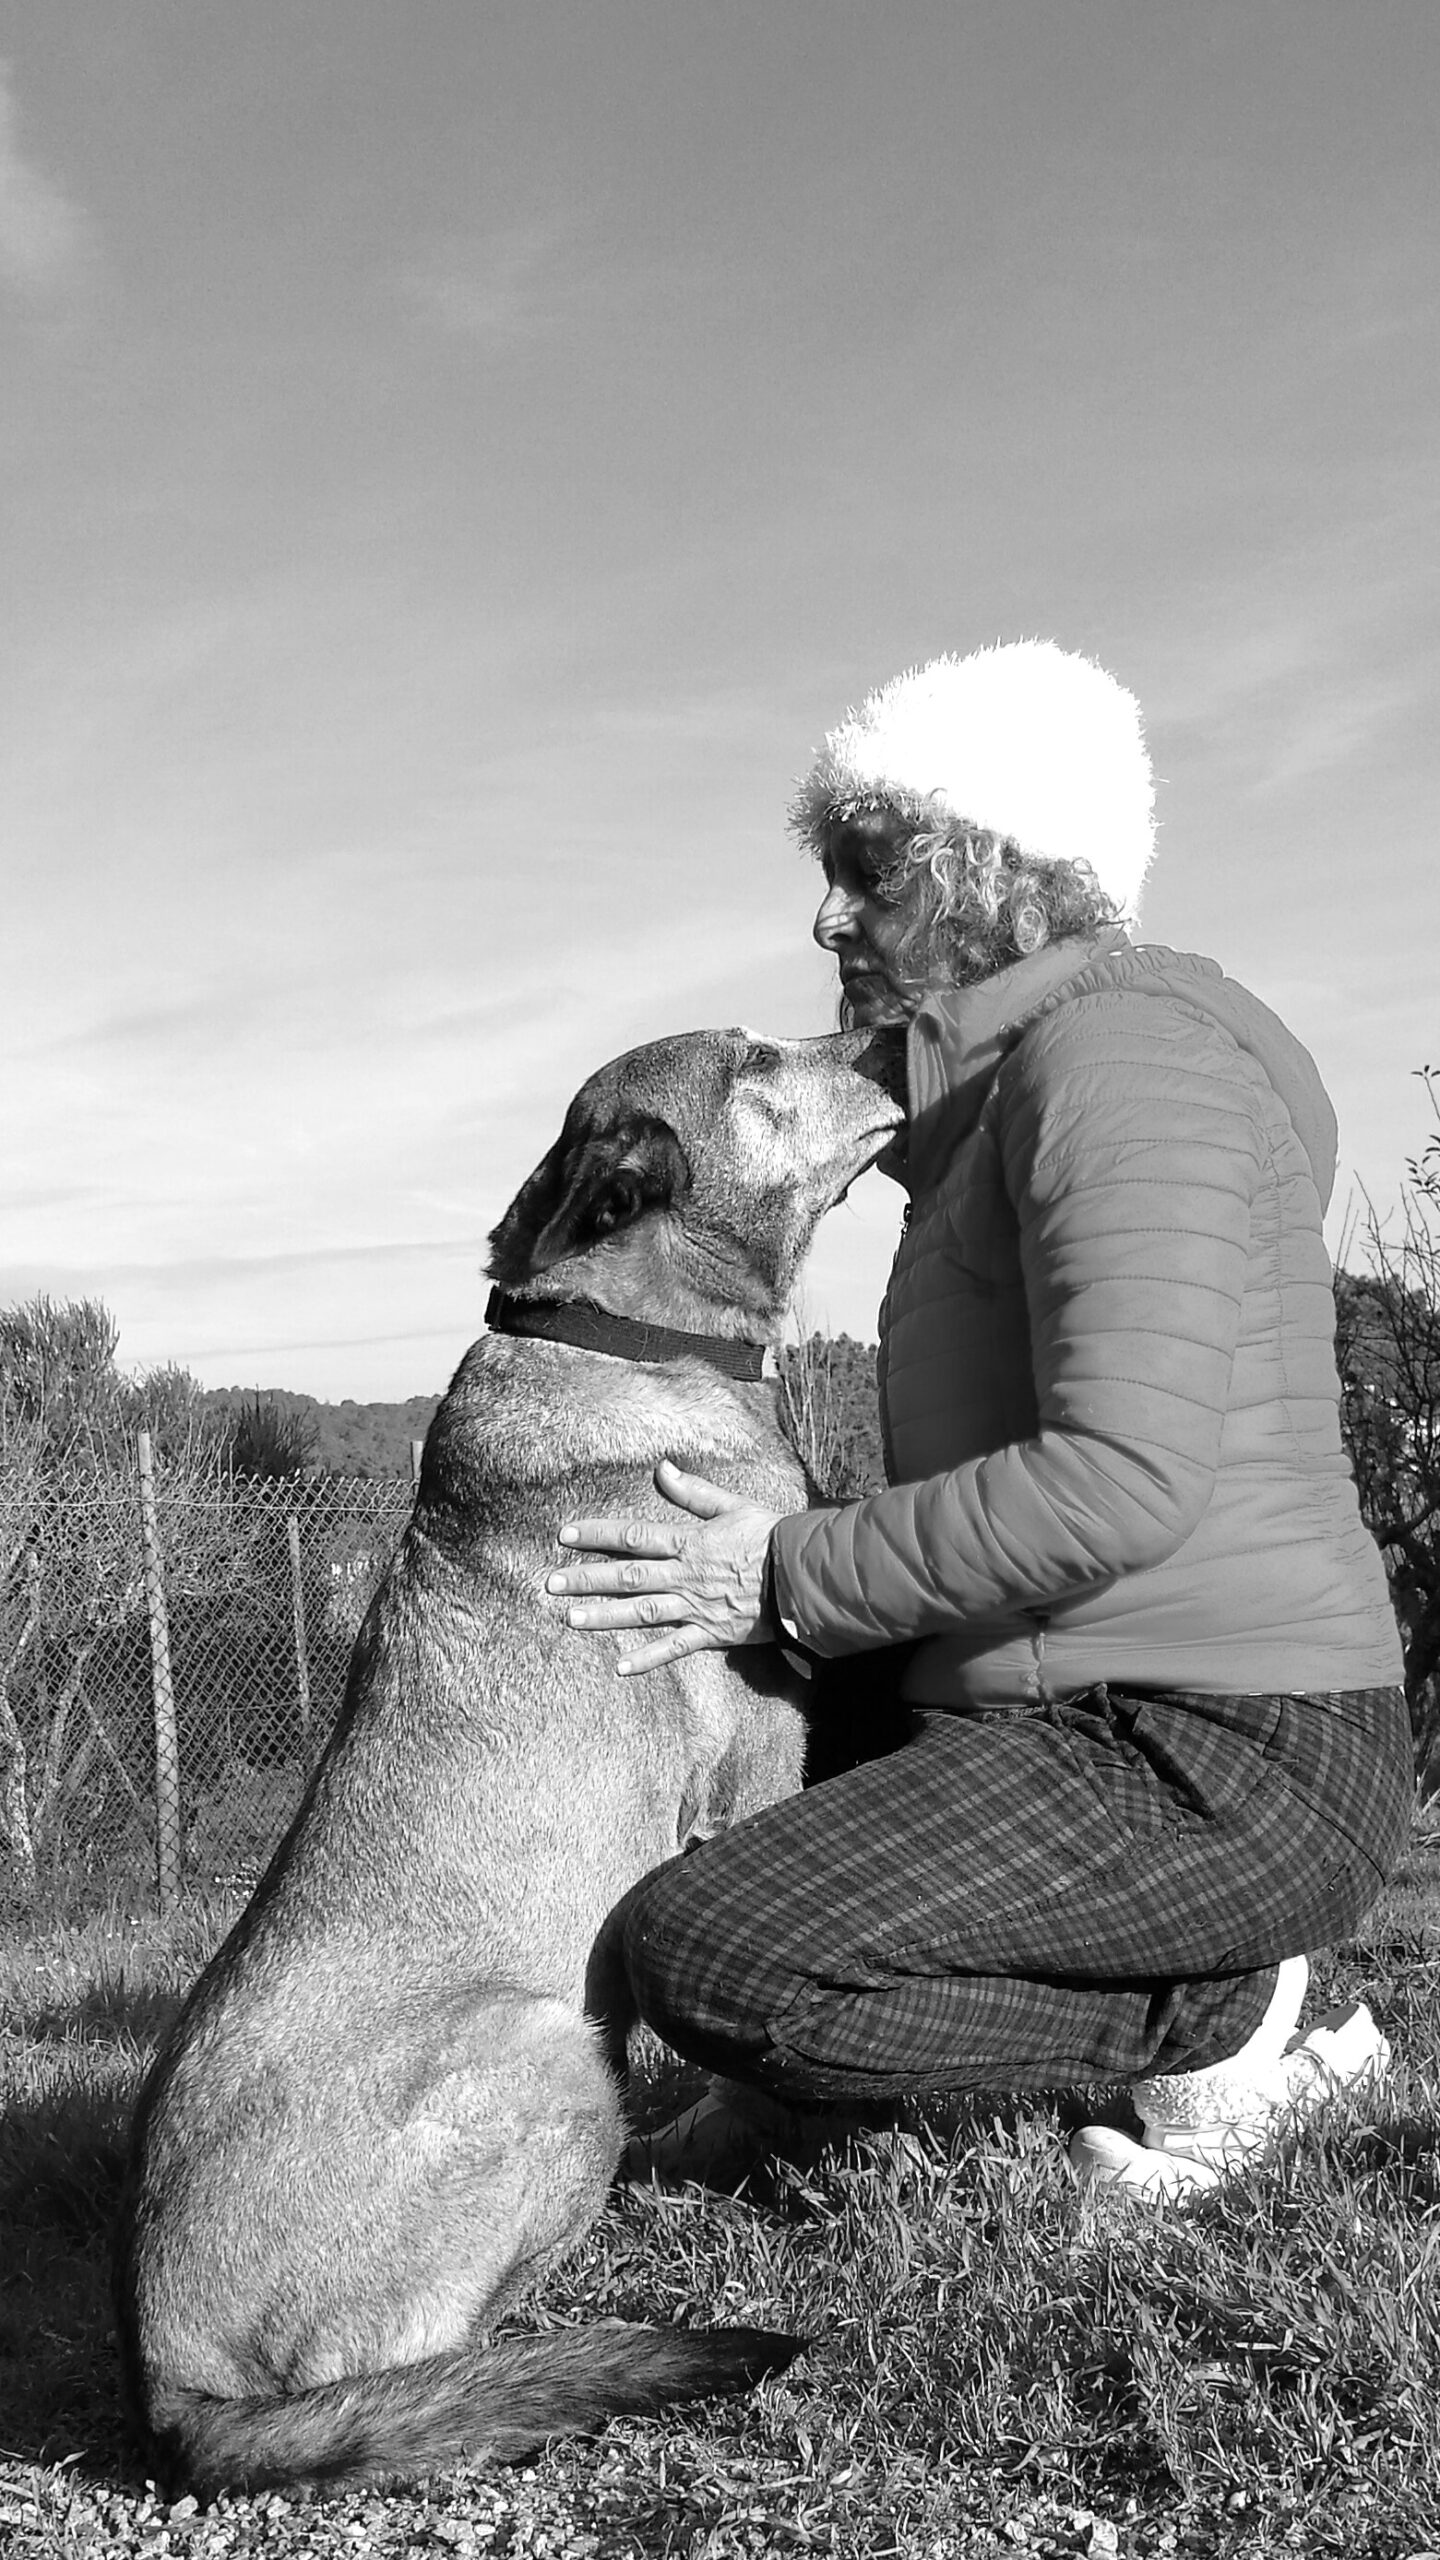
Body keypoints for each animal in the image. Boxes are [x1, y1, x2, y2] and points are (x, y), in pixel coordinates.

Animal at [114, 1024, 896, 2498]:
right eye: (760, 1056)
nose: (883, 1038)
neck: (623, 1333)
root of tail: (167, 2386)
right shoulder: (756, 1779)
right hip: (552, 2048)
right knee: (438, 2349)